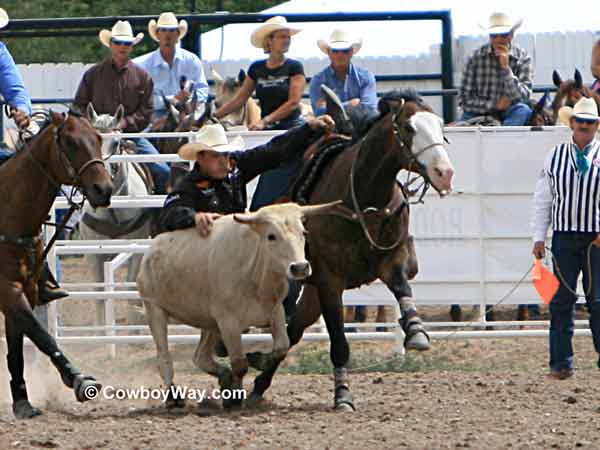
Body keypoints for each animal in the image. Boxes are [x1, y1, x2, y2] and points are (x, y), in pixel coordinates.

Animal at [0, 110, 113, 418]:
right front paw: (78, 379)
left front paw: (22, 402)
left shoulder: (25, 289)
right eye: (71, 142)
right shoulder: (7, 291)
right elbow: (42, 335)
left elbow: (17, 348)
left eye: (98, 138)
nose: (104, 189)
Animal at [245, 89, 454, 412]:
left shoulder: (391, 260)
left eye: (440, 126)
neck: (363, 200)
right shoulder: (330, 282)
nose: (444, 173)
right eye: (409, 128)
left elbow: (402, 287)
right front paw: (343, 395)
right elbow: (339, 343)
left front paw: (416, 330)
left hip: (312, 294)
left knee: (294, 331)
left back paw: (259, 384)